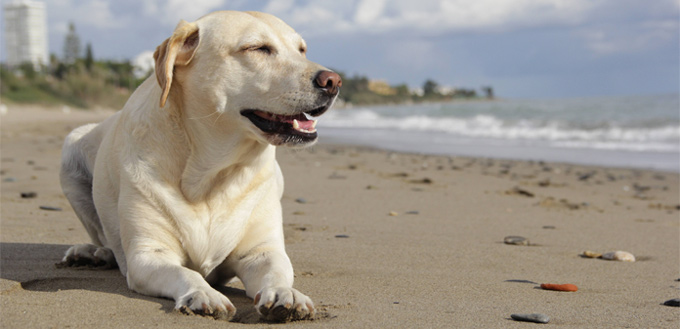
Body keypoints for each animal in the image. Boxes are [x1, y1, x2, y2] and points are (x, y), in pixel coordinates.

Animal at [58, 10, 340, 320]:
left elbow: (277, 271)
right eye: (257, 48)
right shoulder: (148, 255)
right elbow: (185, 273)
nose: (333, 81)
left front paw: (285, 293)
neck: (212, 174)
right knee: (103, 238)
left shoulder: (262, 251)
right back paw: (93, 253)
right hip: (71, 147)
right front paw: (204, 293)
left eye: (301, 50)